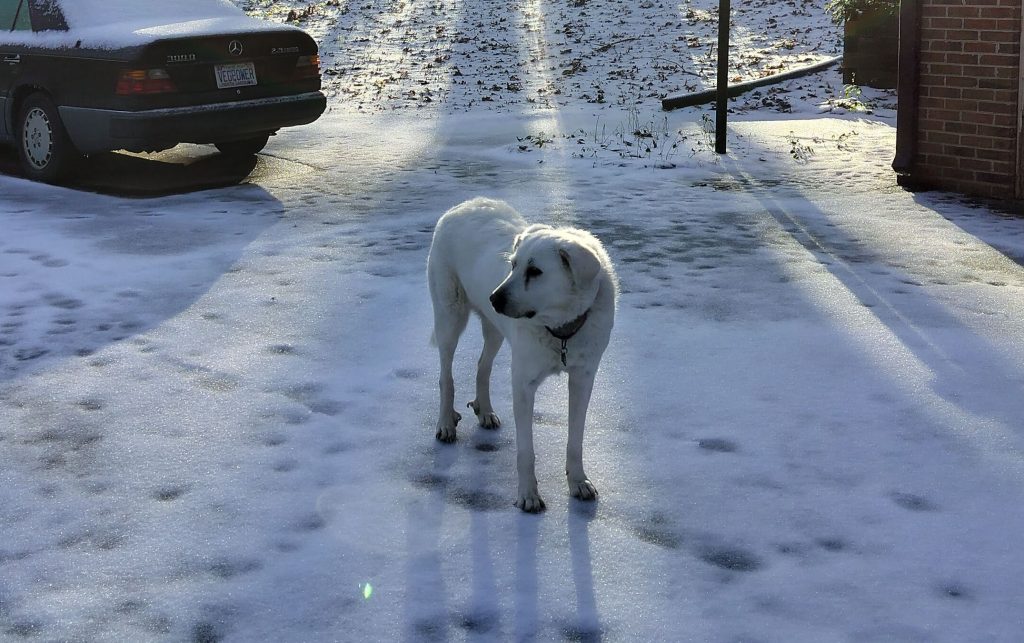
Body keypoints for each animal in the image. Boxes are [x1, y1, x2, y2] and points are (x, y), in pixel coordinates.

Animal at [425, 195, 614, 511]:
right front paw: (528, 495)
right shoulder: (524, 383)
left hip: (494, 329)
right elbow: (526, 451)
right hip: (450, 317)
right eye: (513, 265)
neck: (560, 329)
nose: (493, 297)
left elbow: (575, 440)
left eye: (535, 271)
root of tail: (463, 204)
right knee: (445, 376)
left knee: (483, 366)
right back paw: (445, 423)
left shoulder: (583, 379)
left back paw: (485, 411)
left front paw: (578, 482)